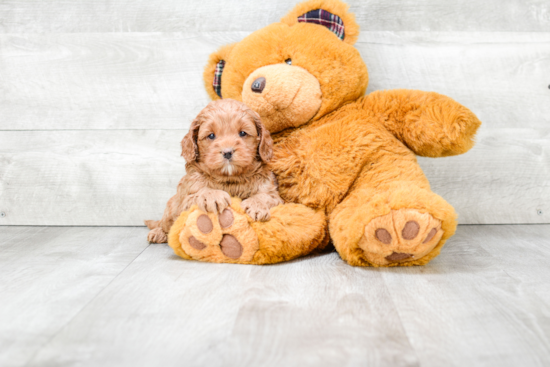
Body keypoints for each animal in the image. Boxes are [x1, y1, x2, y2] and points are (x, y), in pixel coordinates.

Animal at [146, 99, 284, 246]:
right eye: (211, 135)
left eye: (242, 133)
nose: (227, 152)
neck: (230, 179)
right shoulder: (186, 198)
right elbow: (200, 192)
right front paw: (213, 196)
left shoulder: (273, 193)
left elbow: (266, 196)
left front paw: (256, 205)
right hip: (171, 208)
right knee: (164, 224)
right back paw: (158, 232)